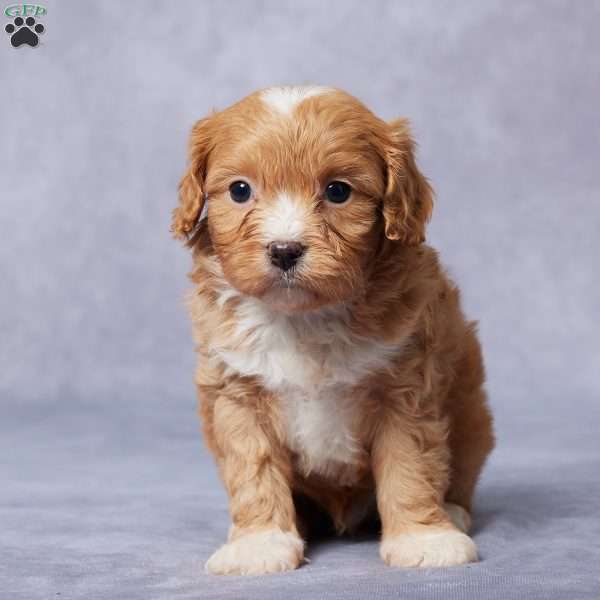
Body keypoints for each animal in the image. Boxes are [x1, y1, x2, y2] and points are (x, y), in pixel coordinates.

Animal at [171, 86, 494, 576]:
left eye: (338, 191)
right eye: (240, 190)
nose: (284, 250)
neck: (304, 316)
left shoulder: (406, 388)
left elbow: (410, 465)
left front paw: (424, 537)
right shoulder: (236, 393)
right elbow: (253, 468)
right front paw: (259, 543)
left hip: (472, 418)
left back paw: (453, 512)